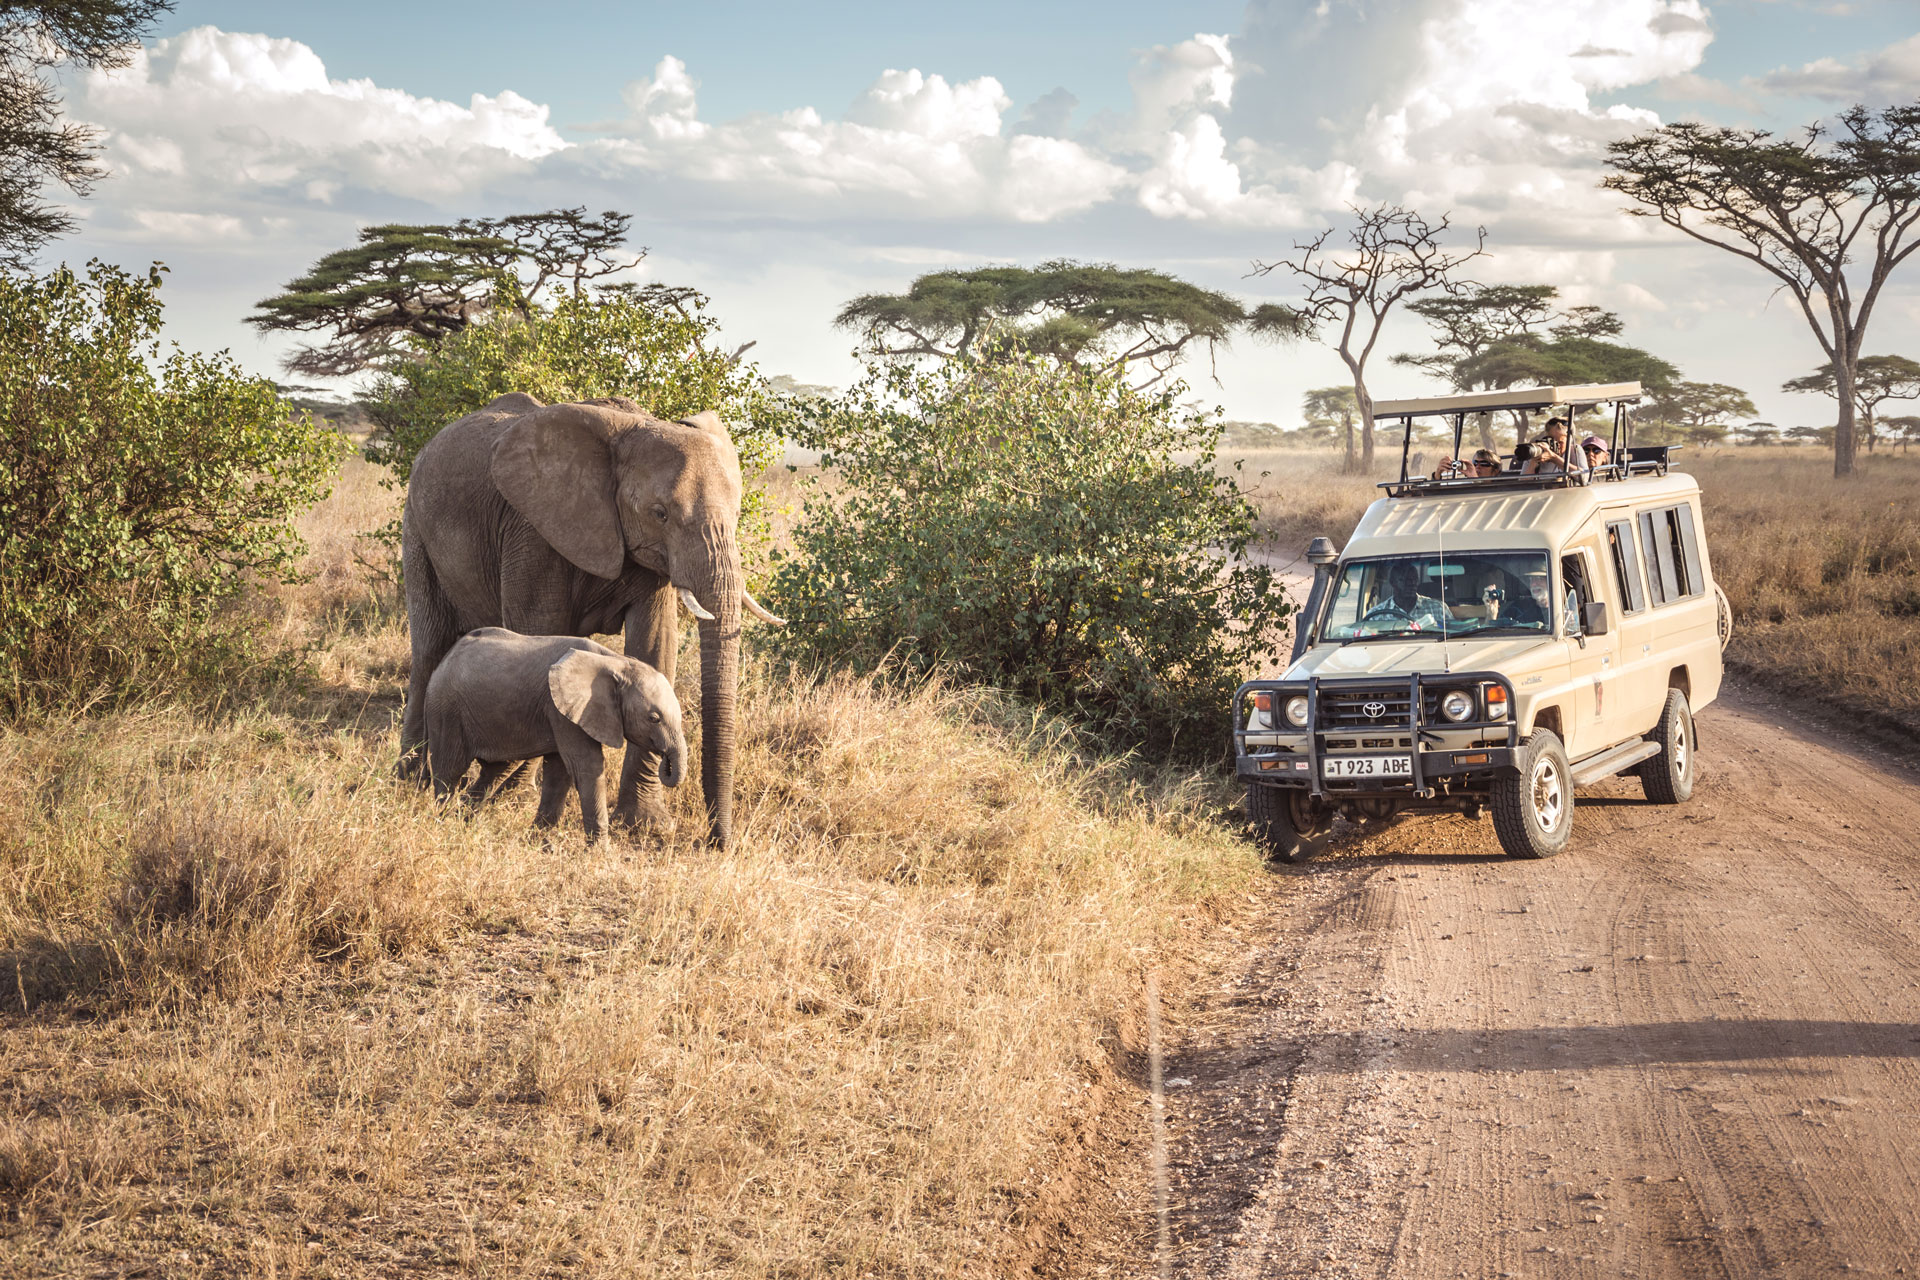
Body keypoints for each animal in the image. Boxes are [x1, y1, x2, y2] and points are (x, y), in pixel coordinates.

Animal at [430, 629, 691, 840]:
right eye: (653, 718)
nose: (665, 762)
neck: (616, 662)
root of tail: (445, 658)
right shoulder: (562, 711)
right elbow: (586, 767)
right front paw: (599, 853)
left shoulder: (563, 712)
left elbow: (559, 773)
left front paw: (537, 842)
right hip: (447, 710)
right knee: (449, 770)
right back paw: (443, 822)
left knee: (495, 770)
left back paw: (463, 821)